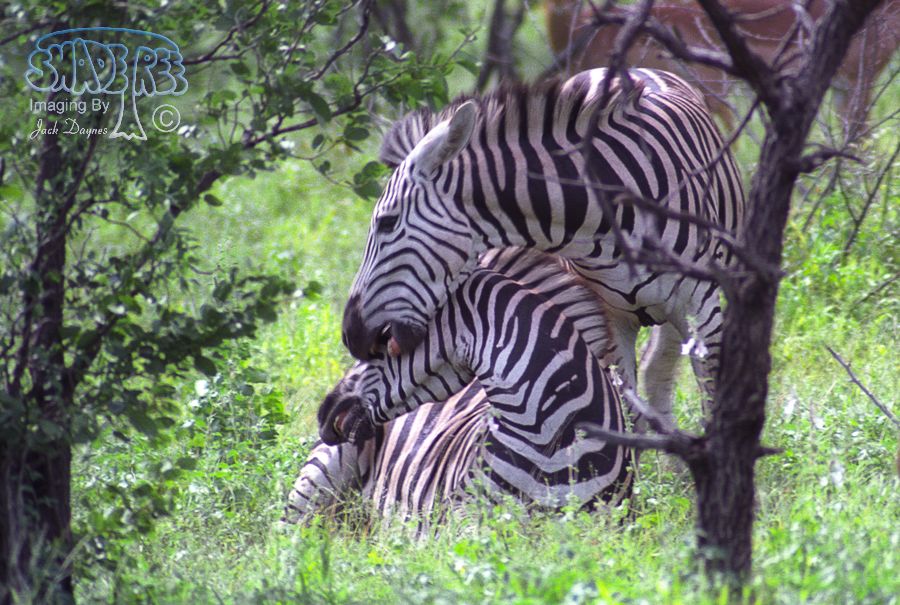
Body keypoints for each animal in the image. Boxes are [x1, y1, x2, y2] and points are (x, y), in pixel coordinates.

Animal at [341, 68, 746, 431]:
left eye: (387, 223)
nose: (350, 335)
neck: (604, 203)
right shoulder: (612, 321)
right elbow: (629, 416)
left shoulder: (703, 309)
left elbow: (712, 402)